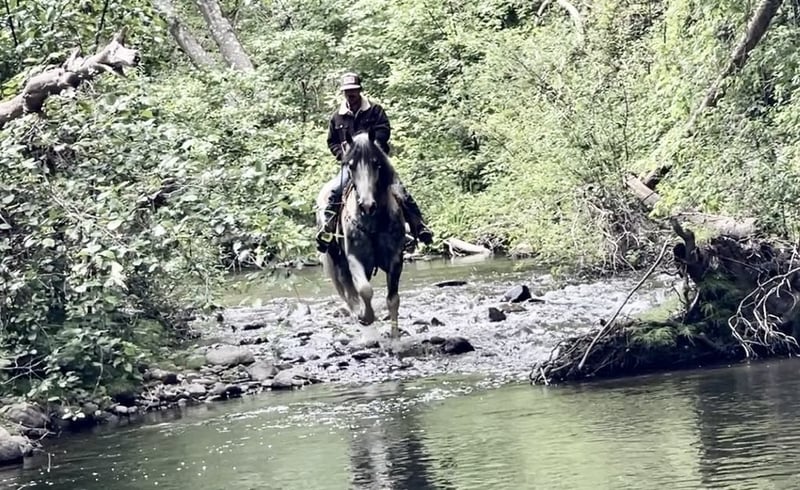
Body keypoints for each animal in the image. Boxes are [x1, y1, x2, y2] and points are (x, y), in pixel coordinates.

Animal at [315, 128, 407, 339]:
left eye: (376, 163)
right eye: (350, 165)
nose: (366, 205)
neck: (373, 223)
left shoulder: (395, 260)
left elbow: (393, 299)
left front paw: (395, 336)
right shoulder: (354, 259)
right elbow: (365, 290)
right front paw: (365, 316)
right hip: (337, 260)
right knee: (349, 290)